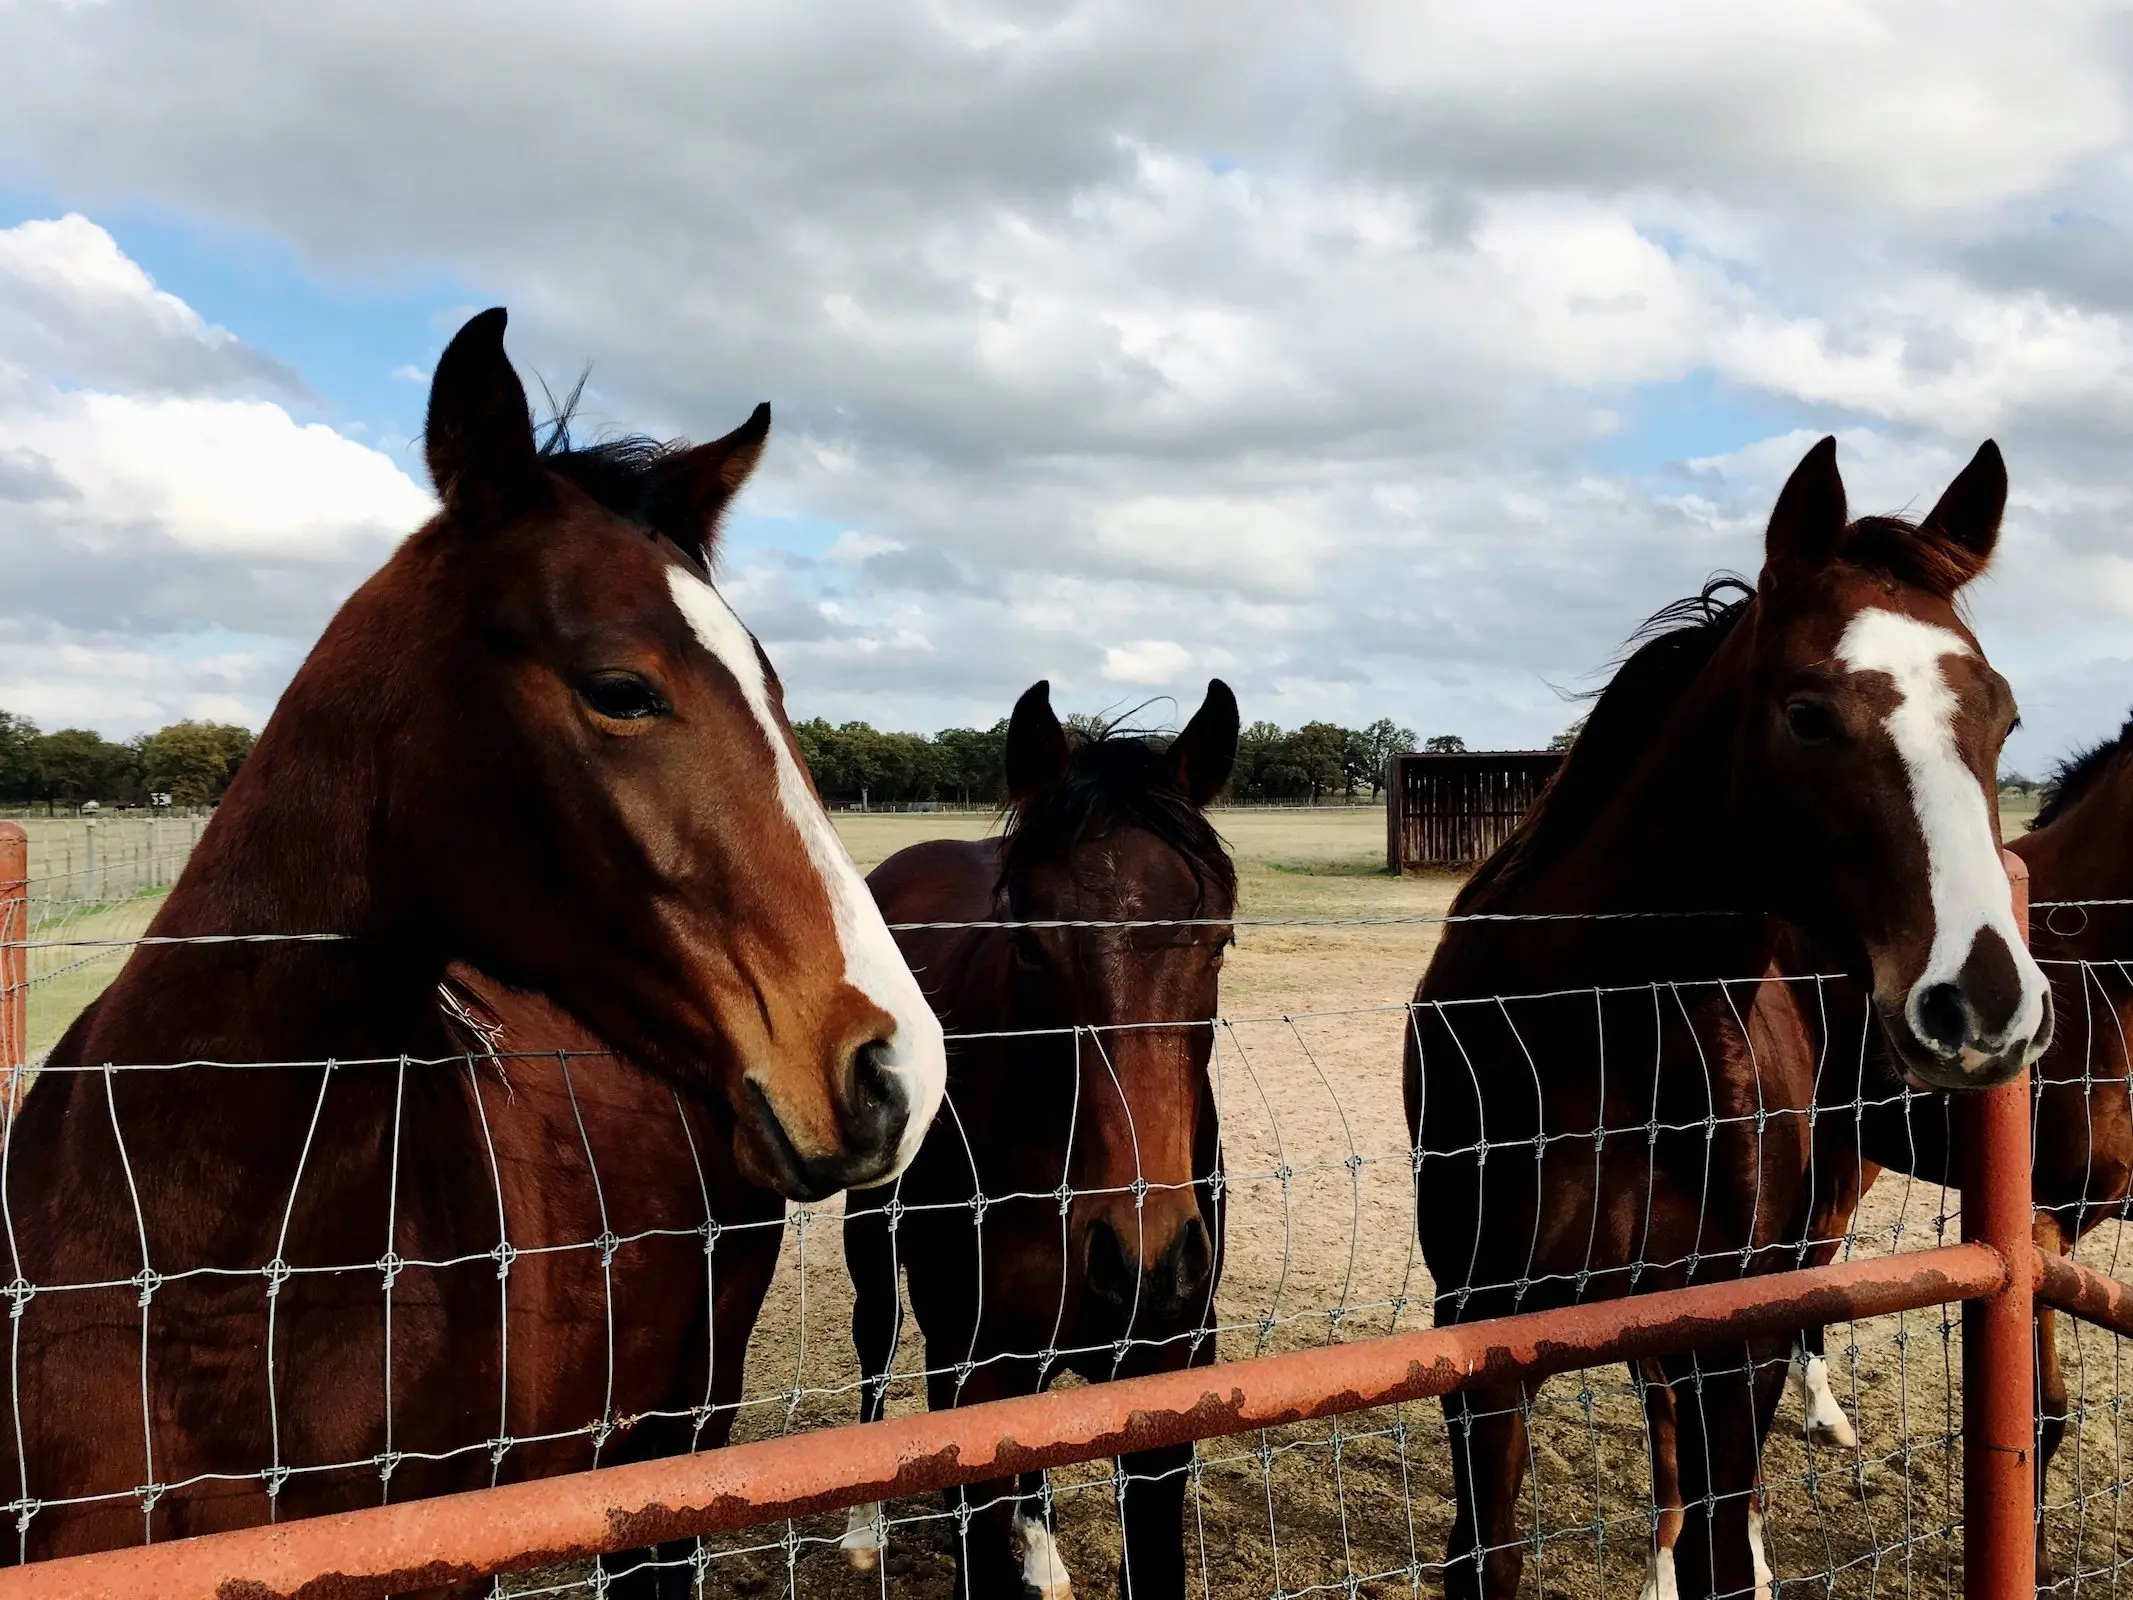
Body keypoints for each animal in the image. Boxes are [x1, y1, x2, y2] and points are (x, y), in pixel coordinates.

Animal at [831, 682, 1237, 1600]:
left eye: (1220, 939)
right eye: (1026, 942)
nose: (1145, 1262)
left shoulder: (1161, 1378)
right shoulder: (973, 1373)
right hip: (874, 1238)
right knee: (875, 1341)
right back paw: (866, 1526)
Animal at [1416, 435, 2047, 1600]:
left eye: (2003, 718)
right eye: (1807, 714)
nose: (1984, 1002)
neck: (1593, 1028)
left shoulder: (1730, 1329)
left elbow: (1725, 1515)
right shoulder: (1482, 1339)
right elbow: (1493, 1553)